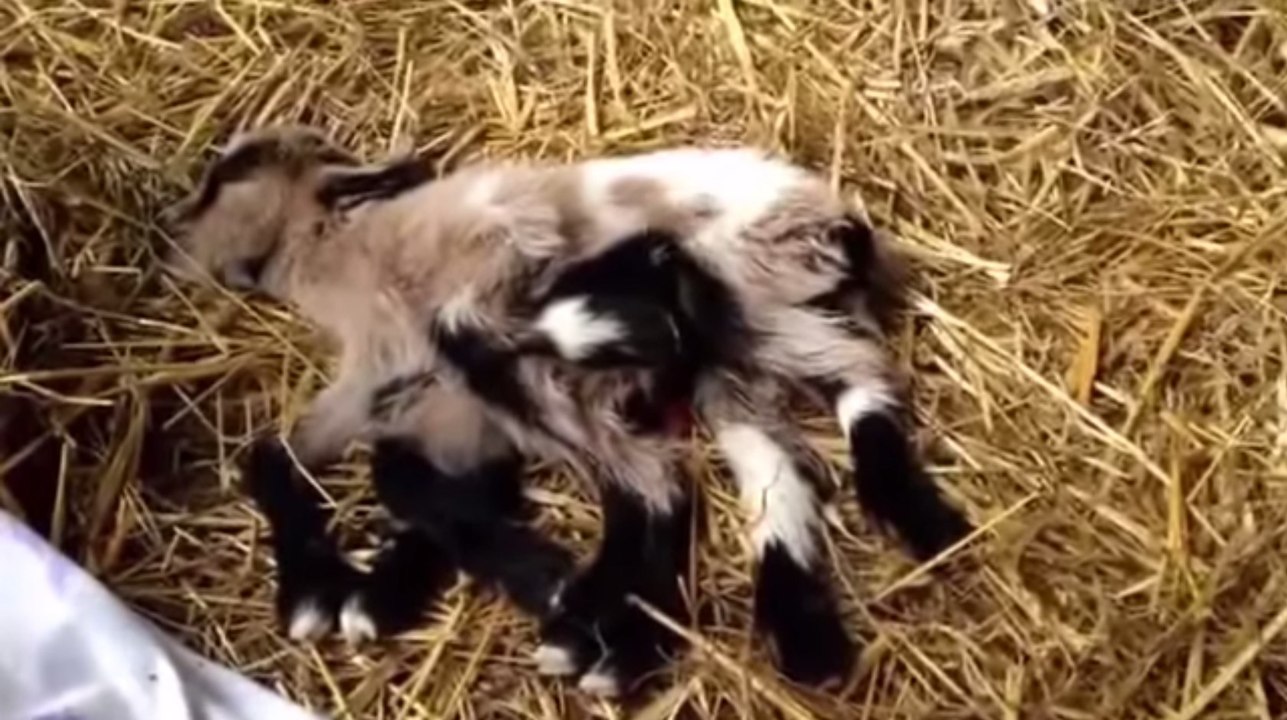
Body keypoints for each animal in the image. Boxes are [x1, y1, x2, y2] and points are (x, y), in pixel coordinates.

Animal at [163, 125, 972, 697]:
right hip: (748, 350)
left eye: (229, 174)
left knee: (677, 469)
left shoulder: (466, 313)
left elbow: (335, 462)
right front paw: (366, 592)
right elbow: (386, 475)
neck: (343, 253)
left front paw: (322, 593)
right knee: (783, 451)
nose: (174, 230)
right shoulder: (428, 405)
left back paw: (593, 628)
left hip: (737, 302)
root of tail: (841, 228)